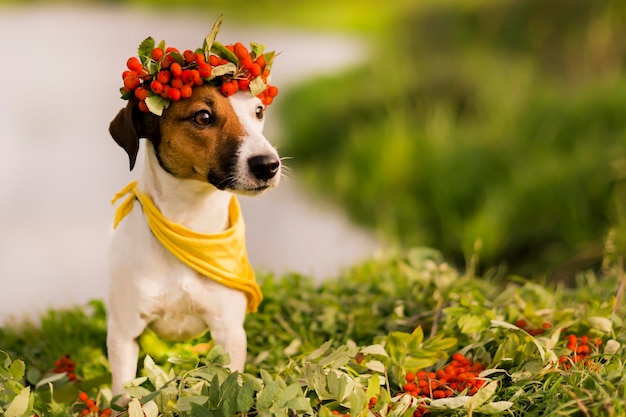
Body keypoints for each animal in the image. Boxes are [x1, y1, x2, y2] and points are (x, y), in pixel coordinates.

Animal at [106, 83, 280, 396]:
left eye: (258, 110)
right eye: (203, 117)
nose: (268, 164)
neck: (190, 227)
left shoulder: (228, 331)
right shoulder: (124, 332)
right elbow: (125, 391)